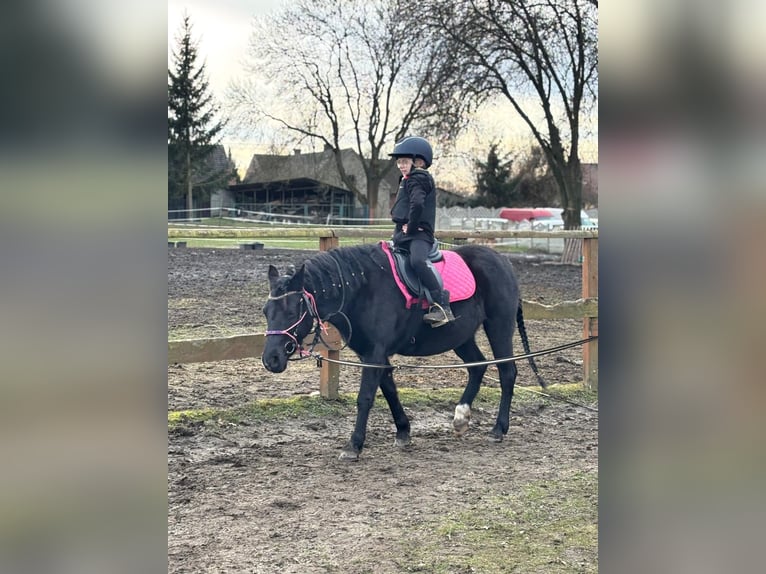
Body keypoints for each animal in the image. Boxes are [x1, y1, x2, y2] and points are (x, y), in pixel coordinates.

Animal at [264, 243, 544, 464]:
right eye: (266, 311)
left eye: (291, 312)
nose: (271, 359)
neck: (363, 289)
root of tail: (503, 261)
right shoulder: (373, 355)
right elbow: (389, 390)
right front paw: (403, 432)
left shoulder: (374, 354)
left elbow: (365, 397)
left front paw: (353, 445)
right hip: (461, 337)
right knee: (478, 366)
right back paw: (461, 418)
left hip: (499, 326)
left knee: (507, 372)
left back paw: (498, 429)